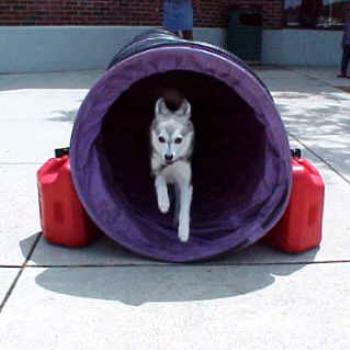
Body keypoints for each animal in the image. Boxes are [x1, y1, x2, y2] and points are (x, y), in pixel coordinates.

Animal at [150, 92, 196, 243]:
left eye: (178, 140)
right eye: (161, 139)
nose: (168, 156)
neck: (172, 165)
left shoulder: (186, 183)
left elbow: (184, 208)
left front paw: (183, 230)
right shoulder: (156, 169)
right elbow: (160, 181)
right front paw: (164, 201)